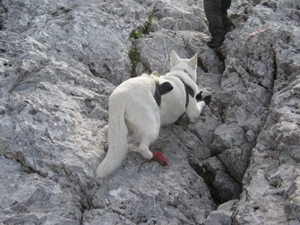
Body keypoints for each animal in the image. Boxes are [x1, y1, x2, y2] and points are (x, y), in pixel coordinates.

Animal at [96, 50, 211, 178]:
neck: (180, 73)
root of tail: (120, 95)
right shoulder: (193, 111)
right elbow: (200, 106)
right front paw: (206, 99)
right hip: (152, 126)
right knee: (142, 147)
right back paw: (151, 156)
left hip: (123, 124)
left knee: (108, 131)